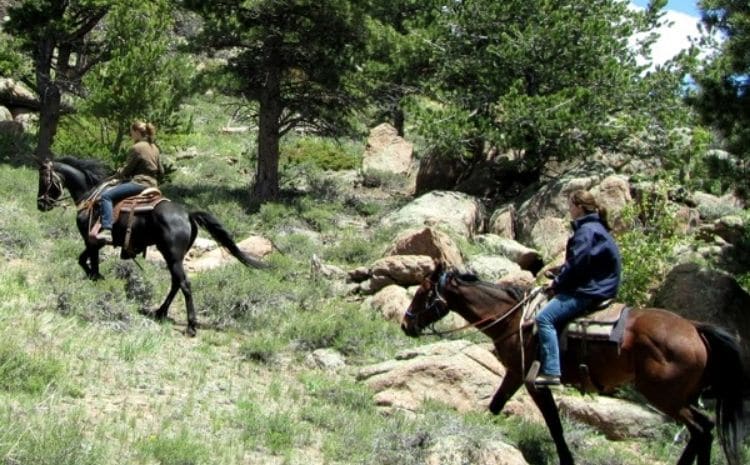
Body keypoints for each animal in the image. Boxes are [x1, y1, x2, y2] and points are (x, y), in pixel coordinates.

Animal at [37, 158, 270, 336]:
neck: (90, 196)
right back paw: (160, 312)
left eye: (44, 179)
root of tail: (187, 214)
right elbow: (86, 261)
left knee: (184, 284)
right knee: (176, 283)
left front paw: (97, 279)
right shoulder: (94, 243)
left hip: (172, 256)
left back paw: (191, 326)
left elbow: (86, 261)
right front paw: (97, 279)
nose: (41, 204)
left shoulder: (91, 240)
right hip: (172, 256)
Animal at [402, 260, 744, 464]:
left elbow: (554, 424)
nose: (406, 324)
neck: (514, 319)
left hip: (665, 397)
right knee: (704, 429)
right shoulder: (515, 374)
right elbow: (496, 405)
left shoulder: (532, 381)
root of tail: (696, 330)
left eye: (422, 291)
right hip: (679, 398)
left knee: (701, 428)